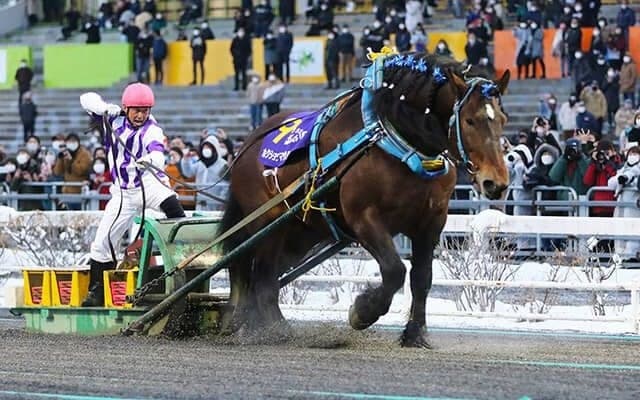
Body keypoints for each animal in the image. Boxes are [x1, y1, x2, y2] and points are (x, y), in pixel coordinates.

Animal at [220, 53, 510, 347]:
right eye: (470, 120)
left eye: (502, 119)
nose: (495, 182)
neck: (397, 142)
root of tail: (246, 146)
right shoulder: (363, 218)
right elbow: (394, 270)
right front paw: (363, 311)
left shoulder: (430, 223)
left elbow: (422, 278)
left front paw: (415, 333)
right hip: (267, 226)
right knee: (262, 276)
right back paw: (275, 329)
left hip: (300, 234)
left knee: (265, 276)